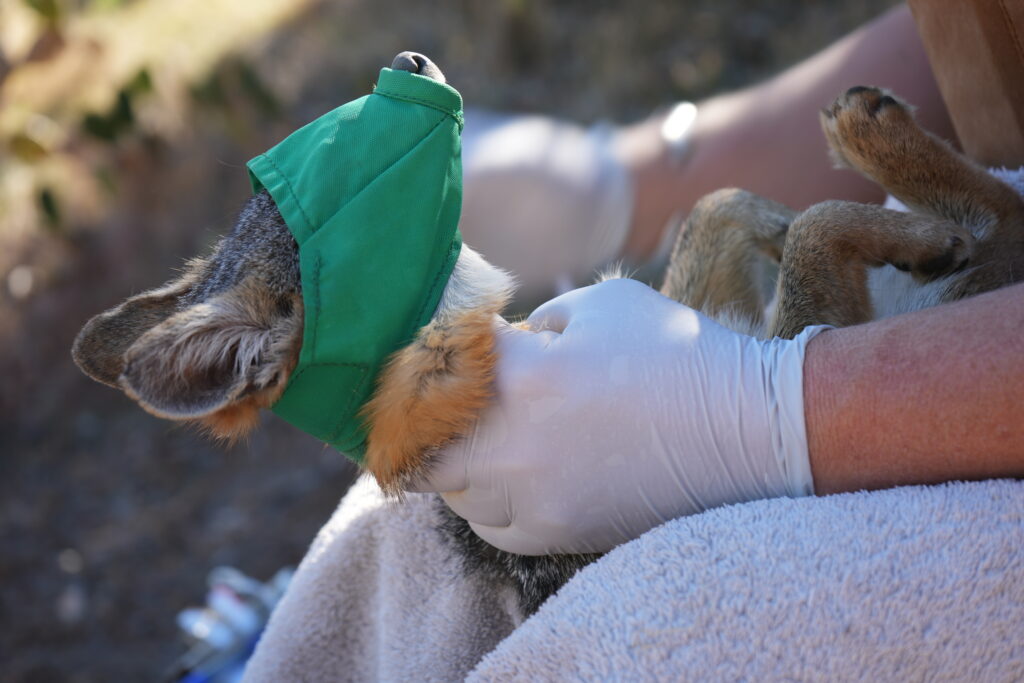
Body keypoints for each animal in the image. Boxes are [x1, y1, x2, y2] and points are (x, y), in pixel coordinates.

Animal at [72, 53, 1024, 617]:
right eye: (344, 162)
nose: (411, 59)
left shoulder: (703, 305)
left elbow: (720, 208)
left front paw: (782, 213)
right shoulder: (795, 331)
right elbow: (824, 231)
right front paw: (915, 231)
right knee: (997, 211)